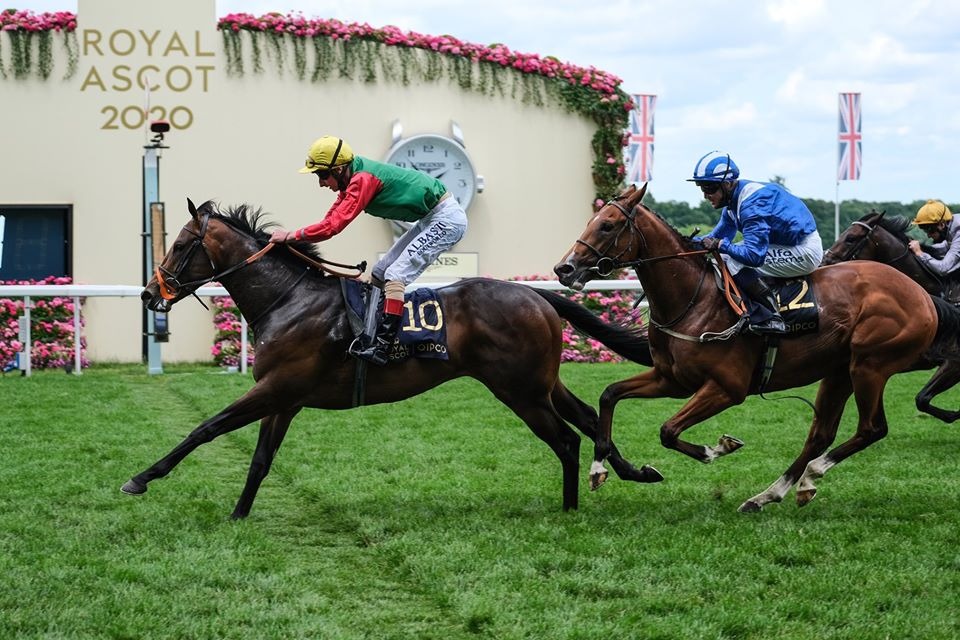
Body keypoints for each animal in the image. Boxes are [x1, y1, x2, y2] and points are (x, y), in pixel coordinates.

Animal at [122, 198, 660, 516]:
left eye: (181, 243)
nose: (148, 294)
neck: (289, 300)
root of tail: (537, 294)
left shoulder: (275, 388)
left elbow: (206, 428)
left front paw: (141, 478)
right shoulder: (284, 399)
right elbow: (259, 459)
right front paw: (239, 514)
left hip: (520, 391)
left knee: (567, 440)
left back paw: (570, 509)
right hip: (542, 383)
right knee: (588, 417)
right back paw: (632, 471)